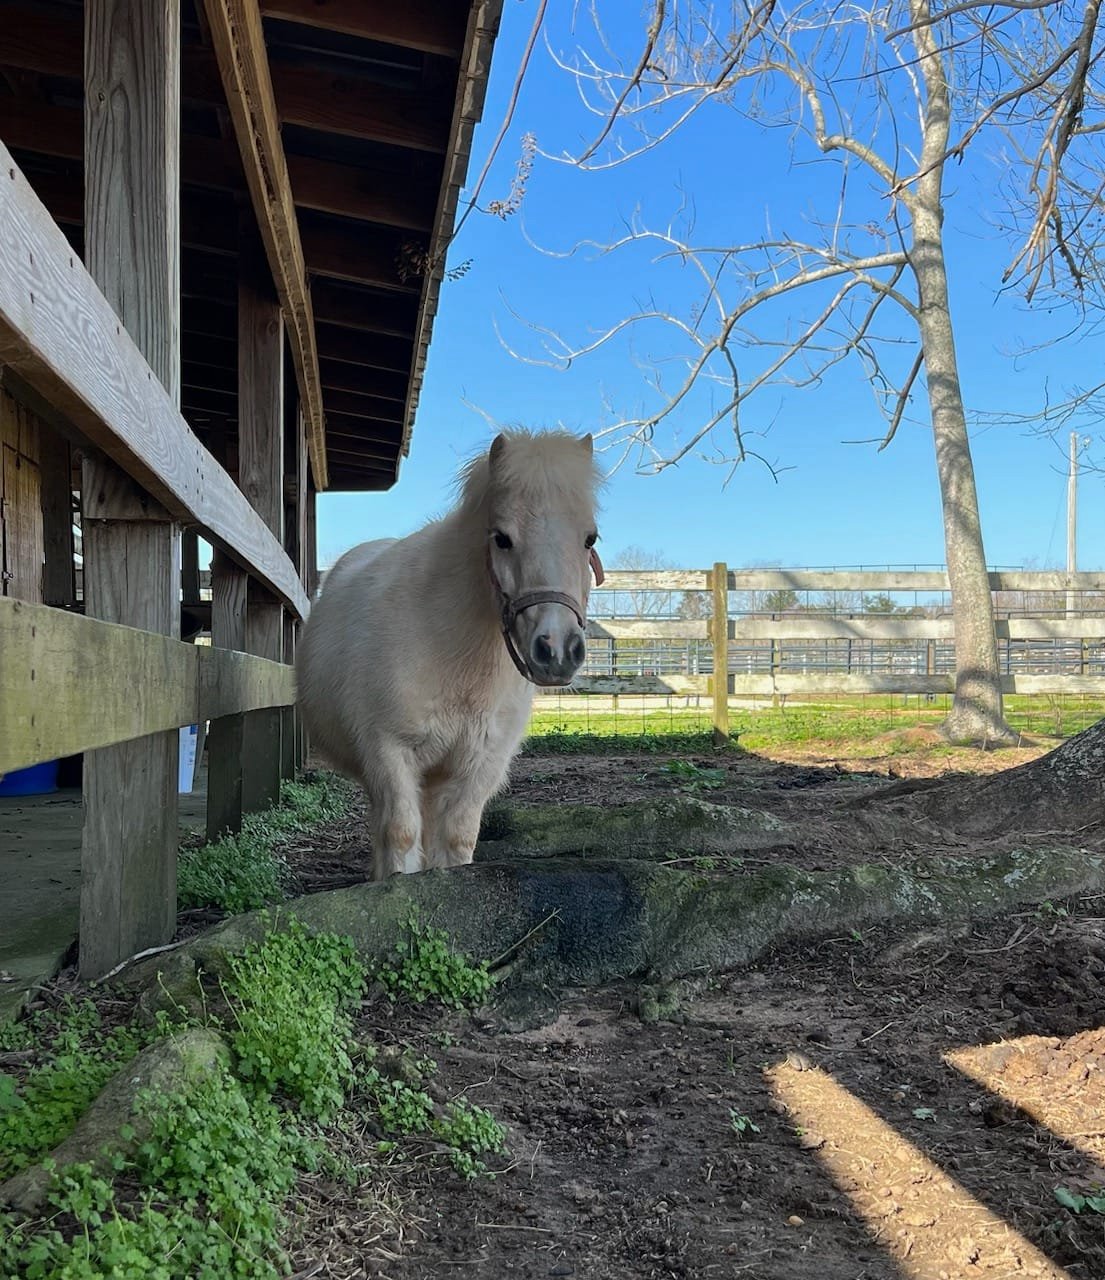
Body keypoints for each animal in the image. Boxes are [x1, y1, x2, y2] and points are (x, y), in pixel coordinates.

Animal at [296, 429, 604, 880]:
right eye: (501, 538)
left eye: (589, 538)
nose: (558, 650)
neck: (455, 658)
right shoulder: (389, 753)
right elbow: (400, 833)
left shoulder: (482, 764)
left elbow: (458, 837)